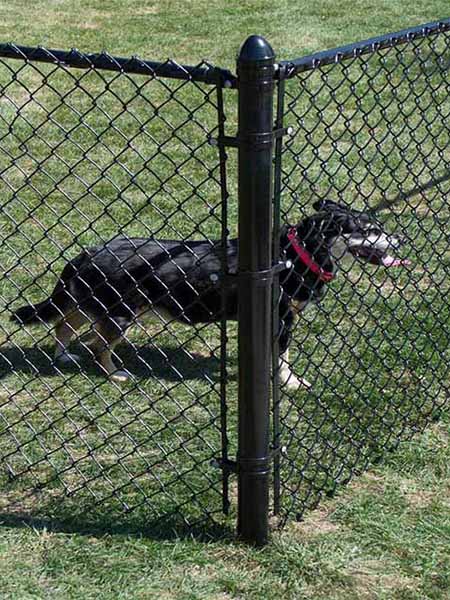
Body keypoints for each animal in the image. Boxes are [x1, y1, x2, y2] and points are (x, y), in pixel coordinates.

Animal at [10, 200, 412, 390]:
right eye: (369, 229)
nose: (401, 239)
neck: (296, 253)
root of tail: (85, 253)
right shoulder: (281, 320)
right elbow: (283, 361)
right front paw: (290, 385)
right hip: (120, 314)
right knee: (96, 343)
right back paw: (115, 375)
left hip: (91, 303)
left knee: (63, 323)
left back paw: (63, 356)